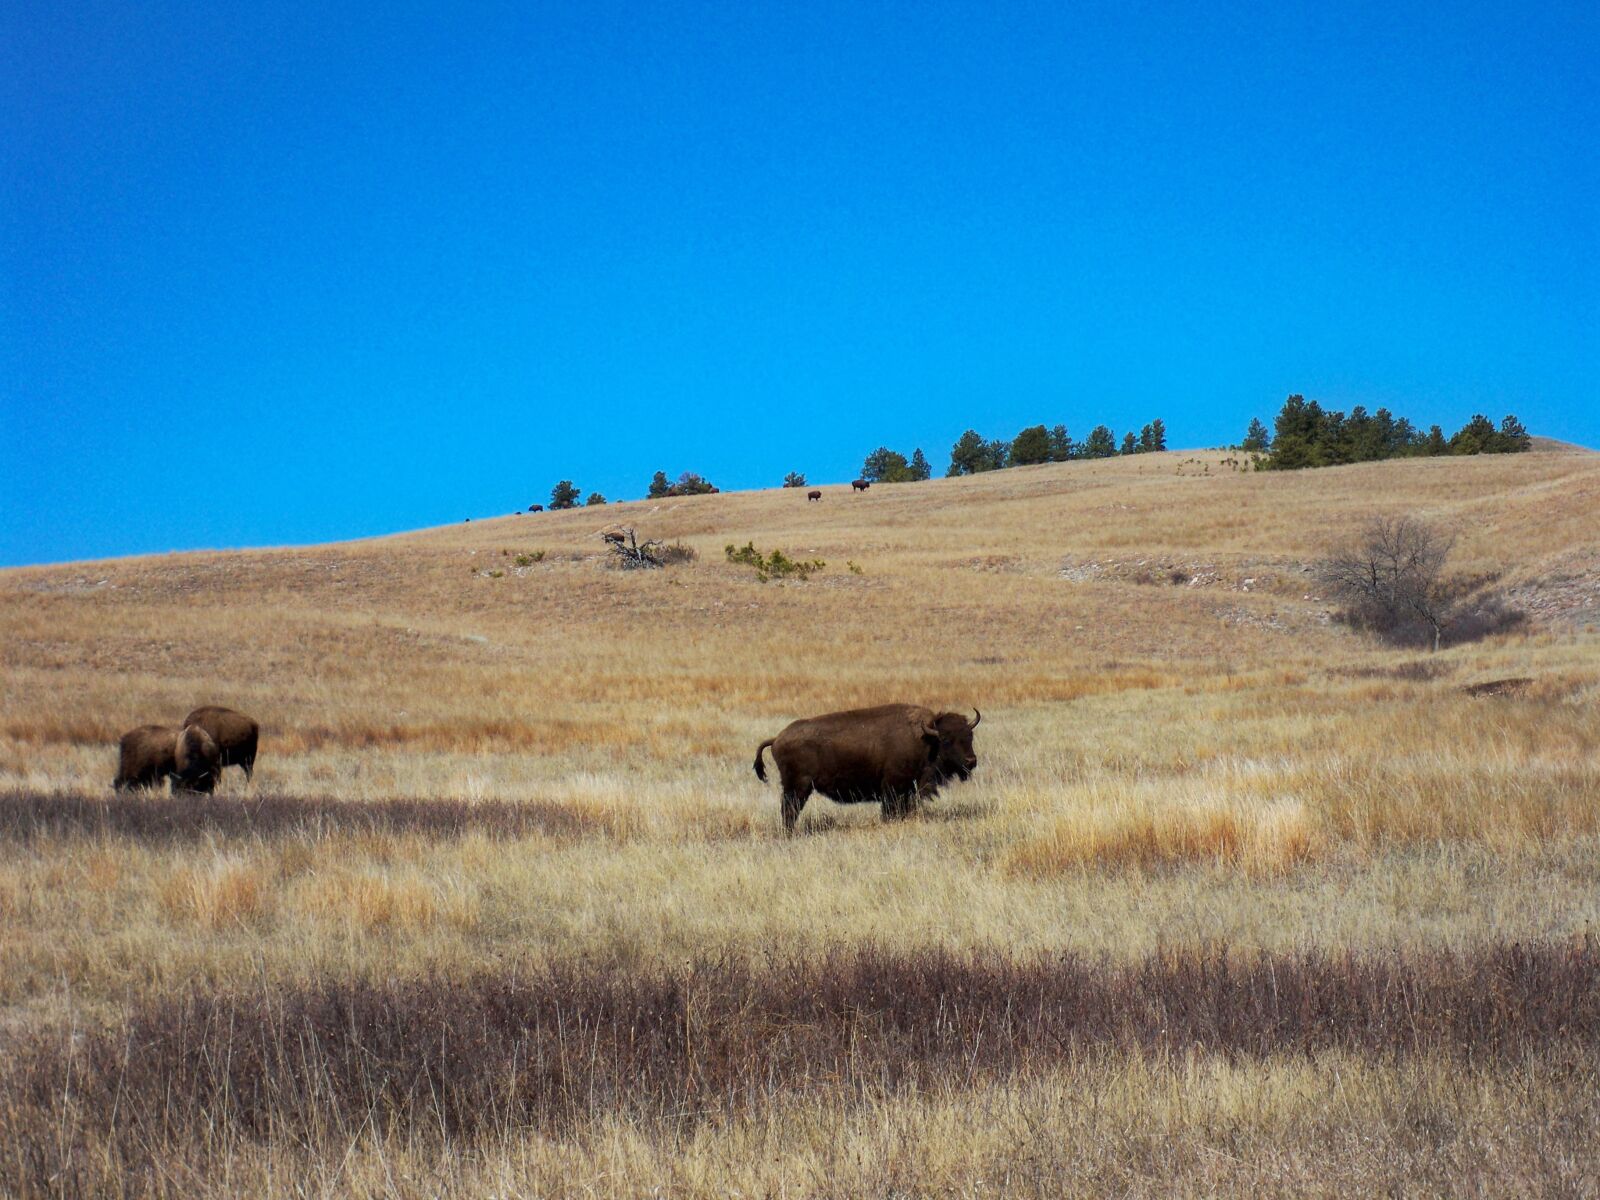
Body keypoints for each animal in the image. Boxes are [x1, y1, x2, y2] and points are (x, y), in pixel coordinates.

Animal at [753, 704, 980, 833]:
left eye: (969, 736)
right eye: (946, 740)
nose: (971, 761)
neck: (925, 738)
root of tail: (777, 738)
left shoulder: (907, 790)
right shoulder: (893, 788)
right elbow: (890, 810)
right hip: (798, 787)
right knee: (789, 810)